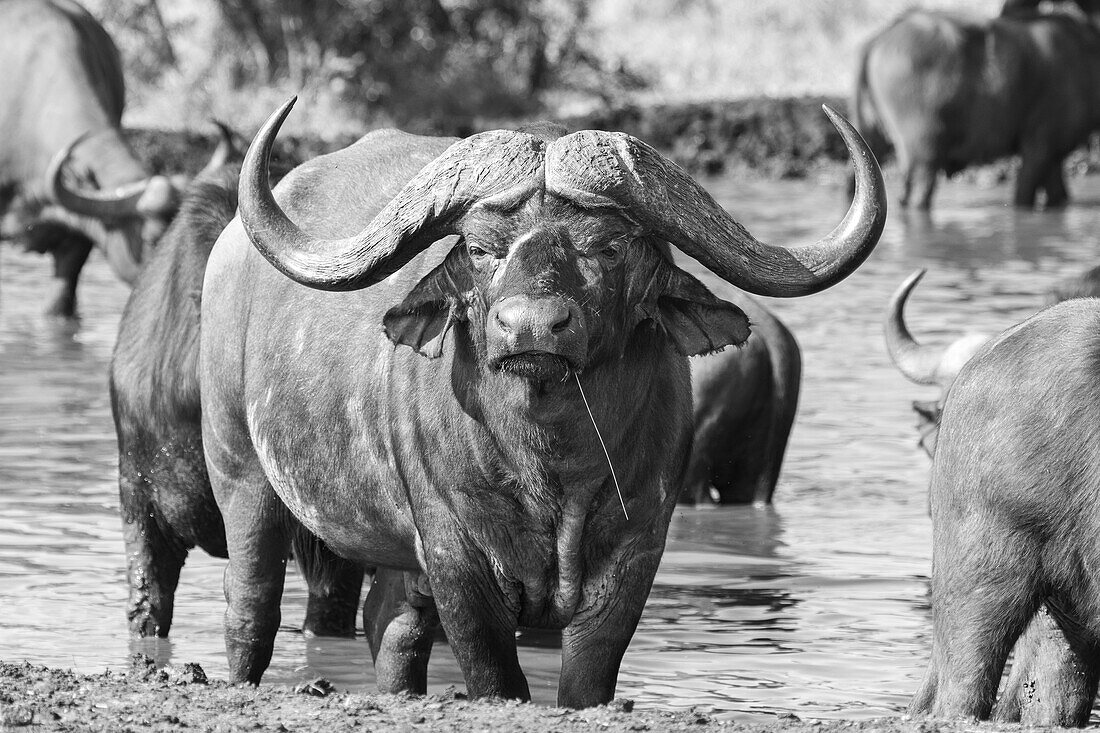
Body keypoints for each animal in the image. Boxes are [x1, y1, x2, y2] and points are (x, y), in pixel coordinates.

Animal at [853, 2, 1100, 208]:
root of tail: (882, 35)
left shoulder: (1053, 157)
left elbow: (1059, 196)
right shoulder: (1041, 148)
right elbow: (1023, 196)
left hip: (870, 136)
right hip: (922, 151)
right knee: (918, 194)